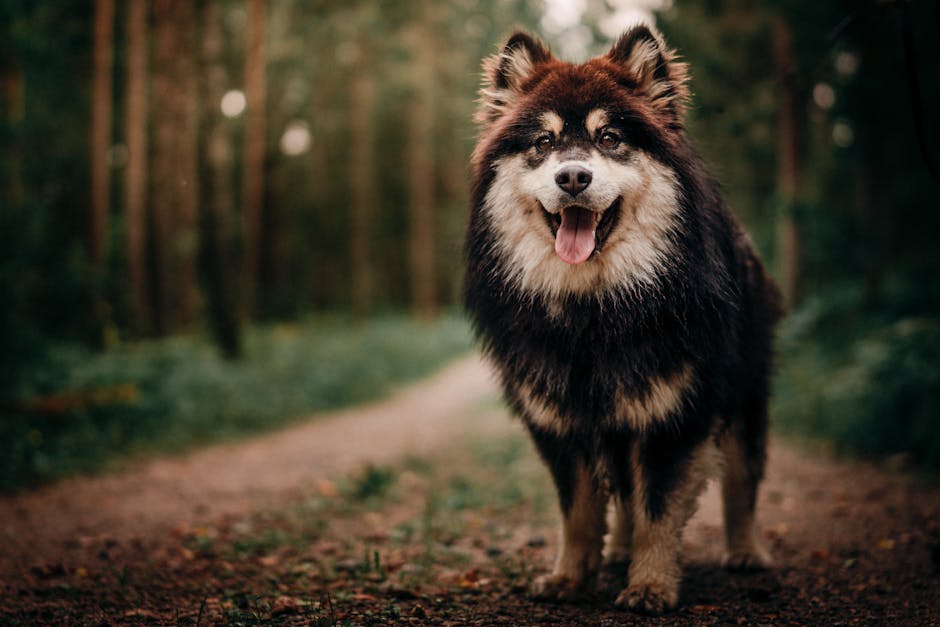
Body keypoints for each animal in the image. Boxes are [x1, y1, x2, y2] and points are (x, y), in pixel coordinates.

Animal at [460, 25, 780, 620]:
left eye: (608, 138)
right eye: (543, 143)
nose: (573, 176)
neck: (592, 309)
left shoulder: (673, 414)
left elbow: (659, 509)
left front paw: (651, 585)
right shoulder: (561, 422)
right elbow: (580, 512)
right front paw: (570, 576)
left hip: (745, 392)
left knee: (741, 480)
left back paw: (746, 552)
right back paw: (618, 552)